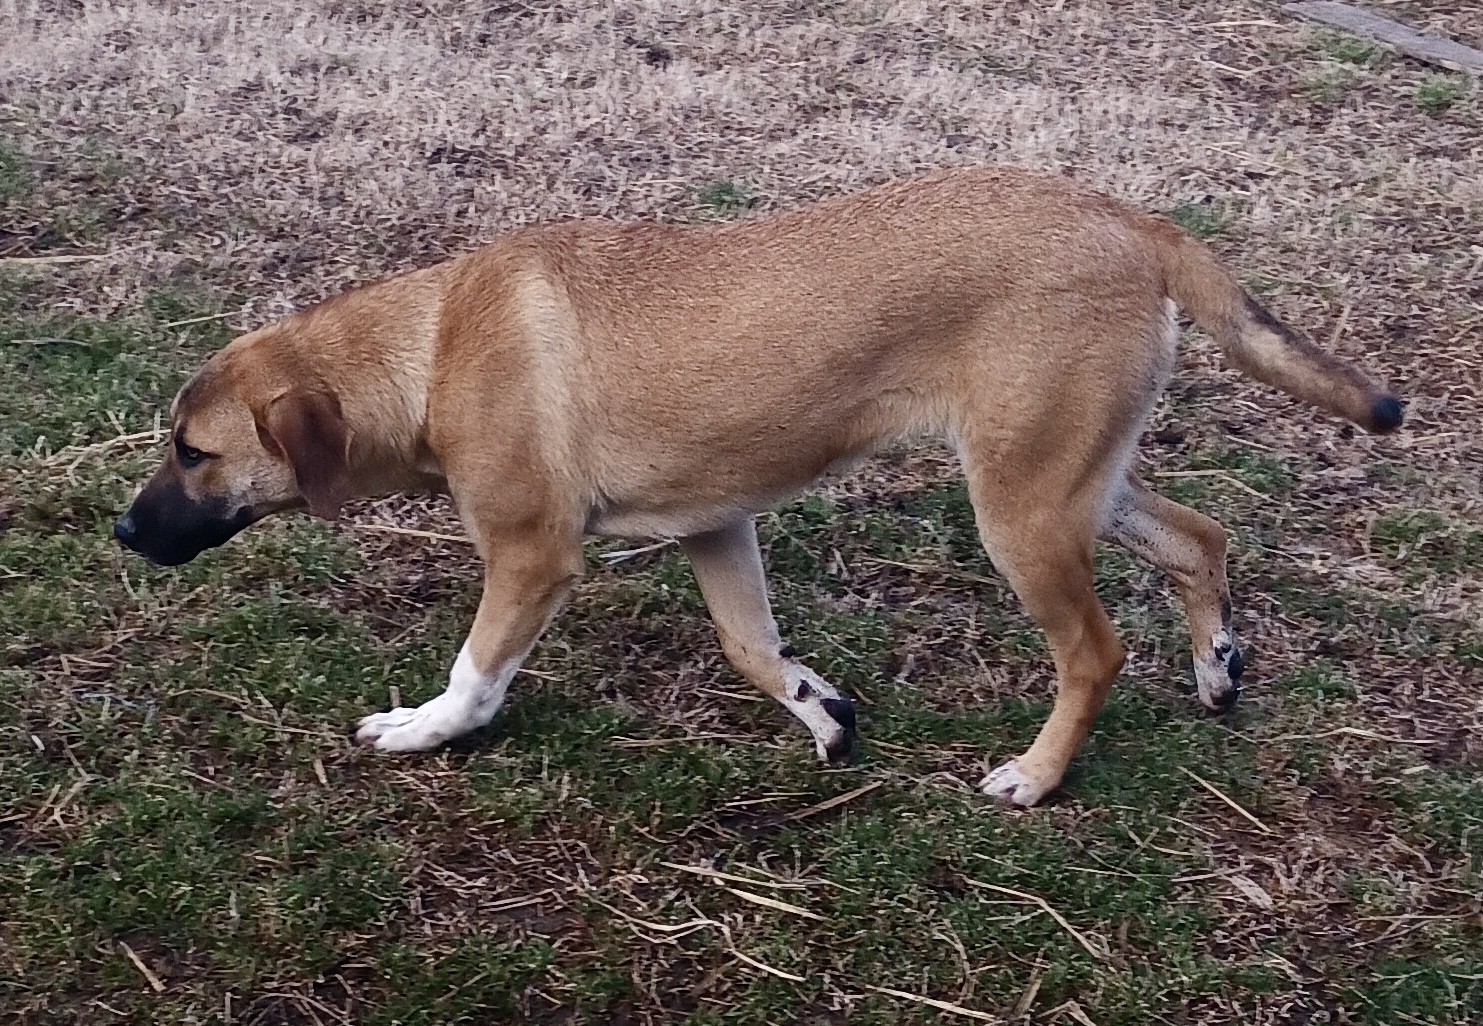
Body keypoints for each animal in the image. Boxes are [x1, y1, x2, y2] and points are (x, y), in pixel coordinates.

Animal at [115, 166, 1399, 812]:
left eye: (191, 451)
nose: (123, 532)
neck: (429, 351)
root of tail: (1133, 220)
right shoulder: (717, 528)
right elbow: (748, 648)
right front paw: (819, 709)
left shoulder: (531, 556)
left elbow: (476, 676)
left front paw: (421, 731)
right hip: (1074, 479)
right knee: (1199, 537)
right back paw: (1218, 668)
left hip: (1022, 512)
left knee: (1093, 651)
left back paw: (1035, 777)